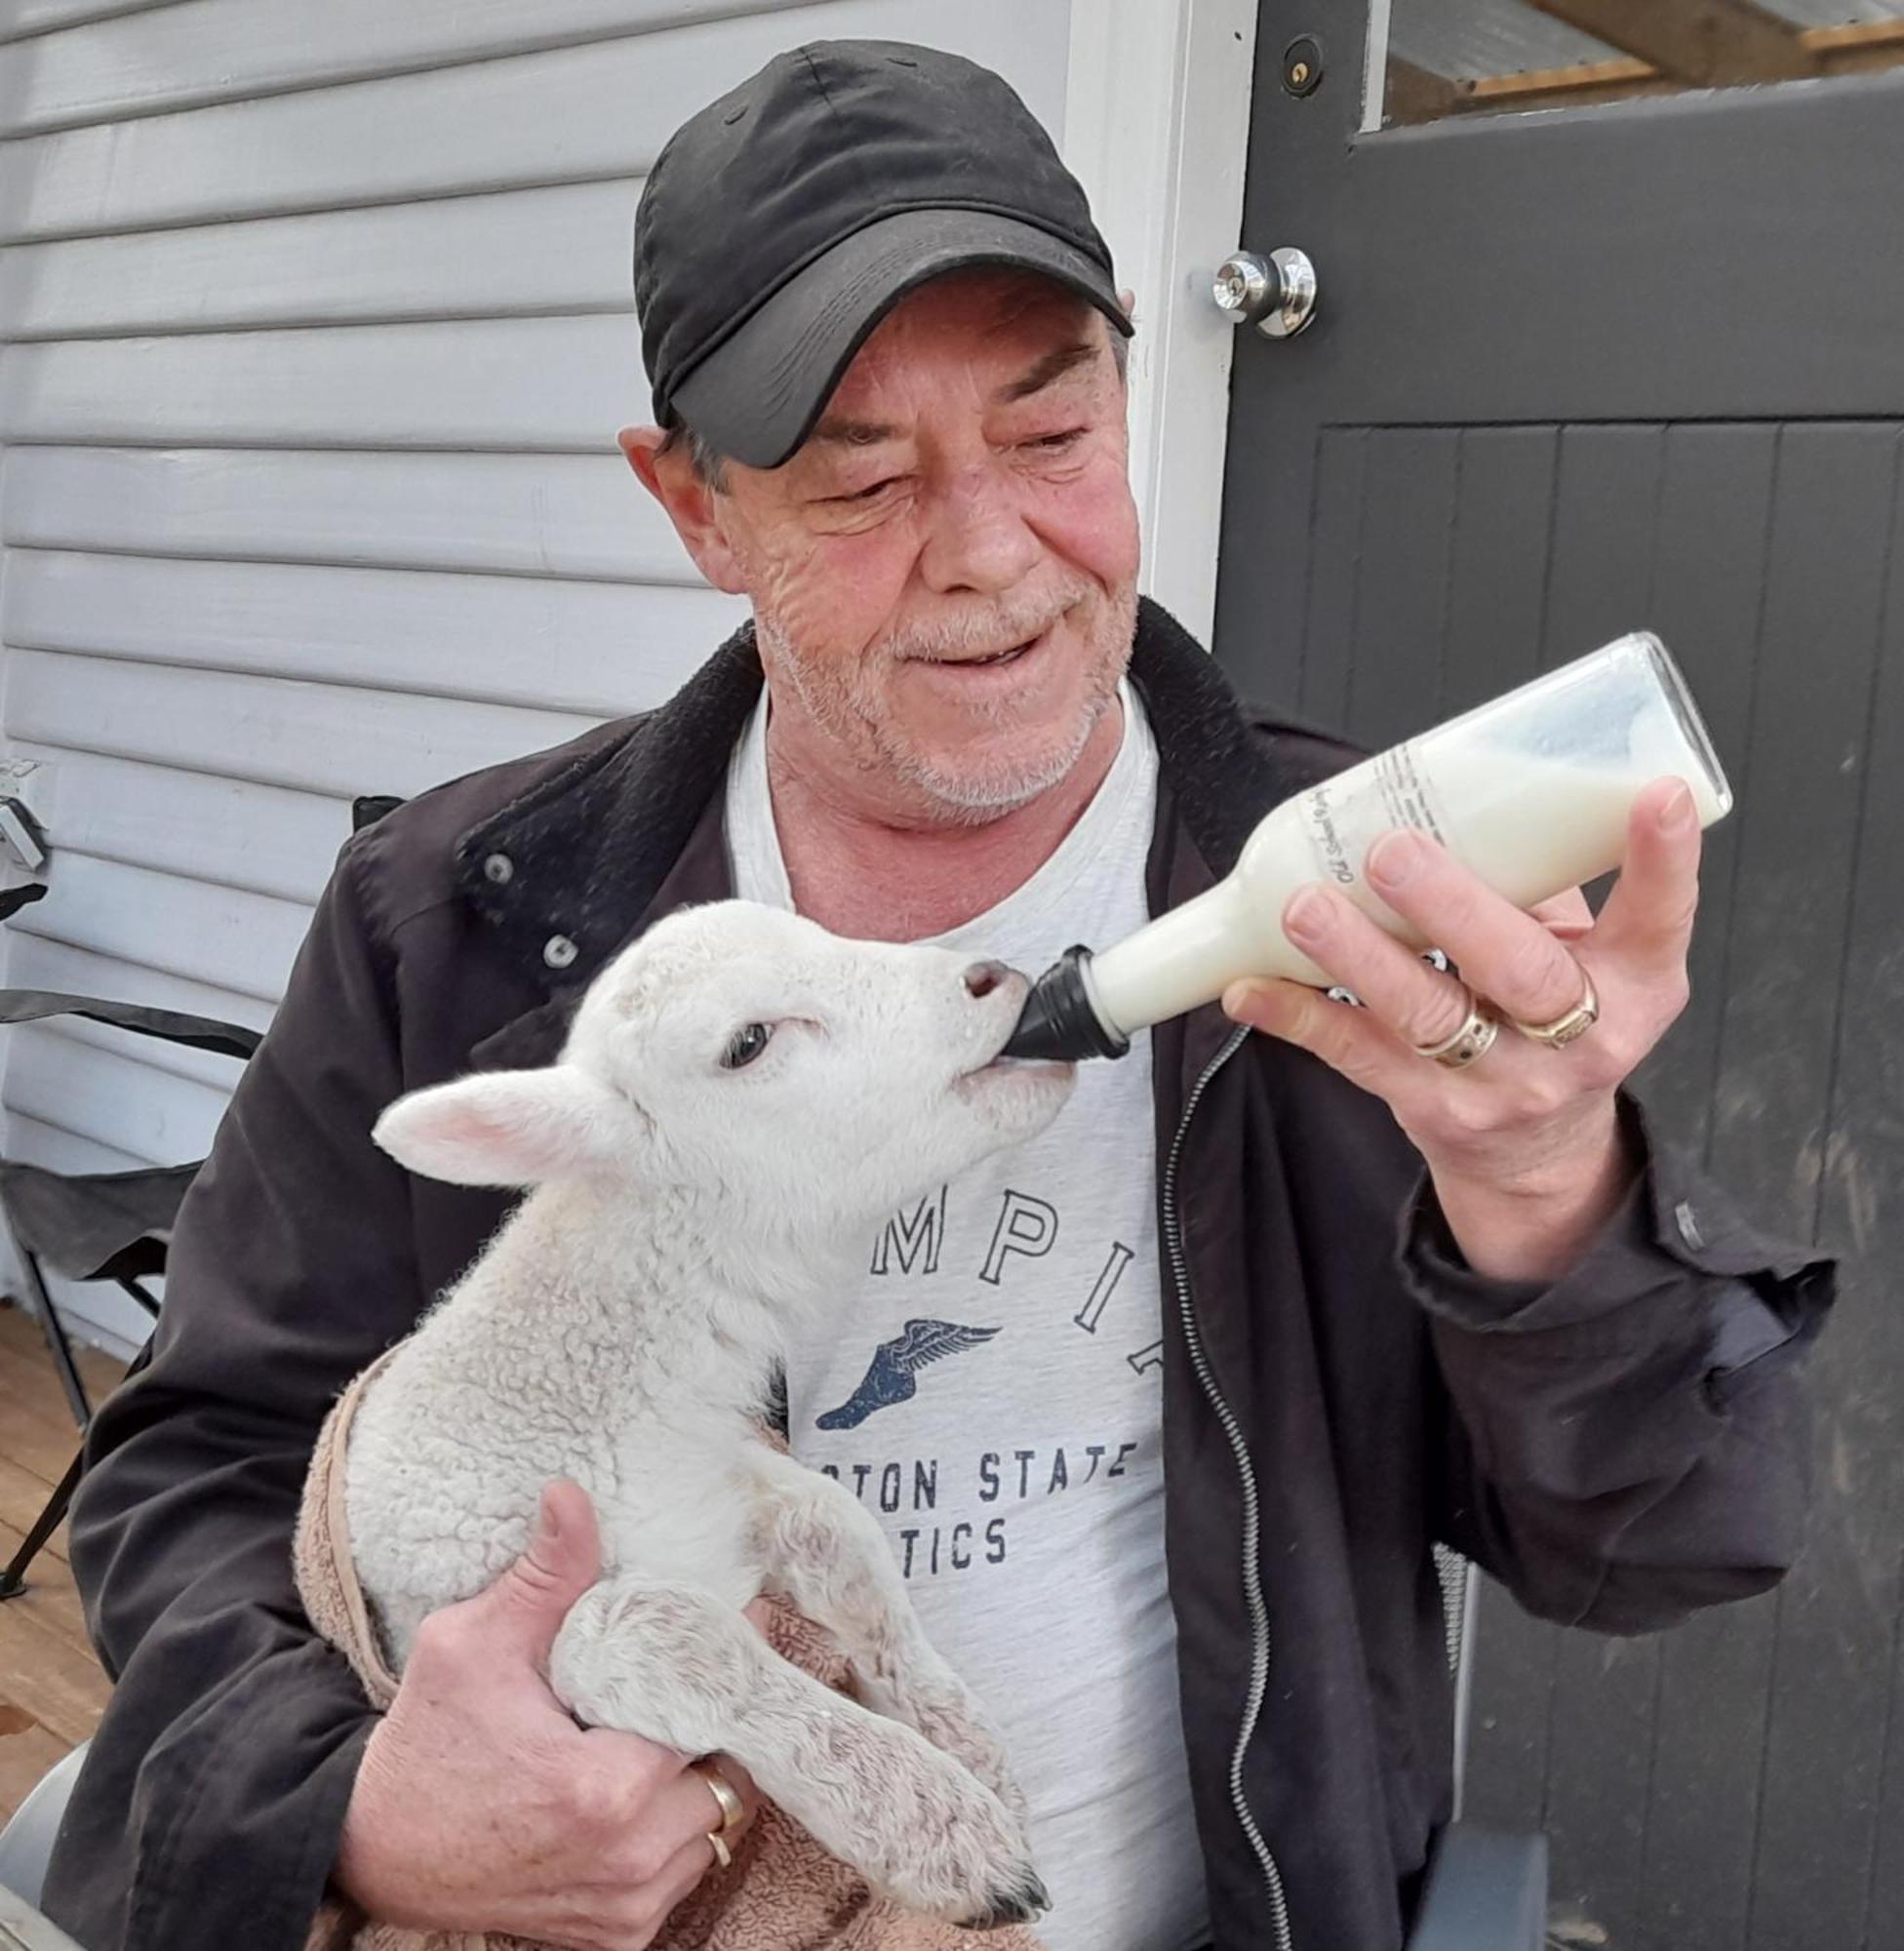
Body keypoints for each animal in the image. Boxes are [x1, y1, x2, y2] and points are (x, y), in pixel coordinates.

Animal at [339, 894, 1069, 1920]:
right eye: (747, 1043)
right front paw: (939, 1827)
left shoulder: (724, 1475)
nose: (989, 978)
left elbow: (840, 1535)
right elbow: (677, 1636)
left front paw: (966, 1745)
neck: (597, 1404)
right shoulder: (505, 1617)